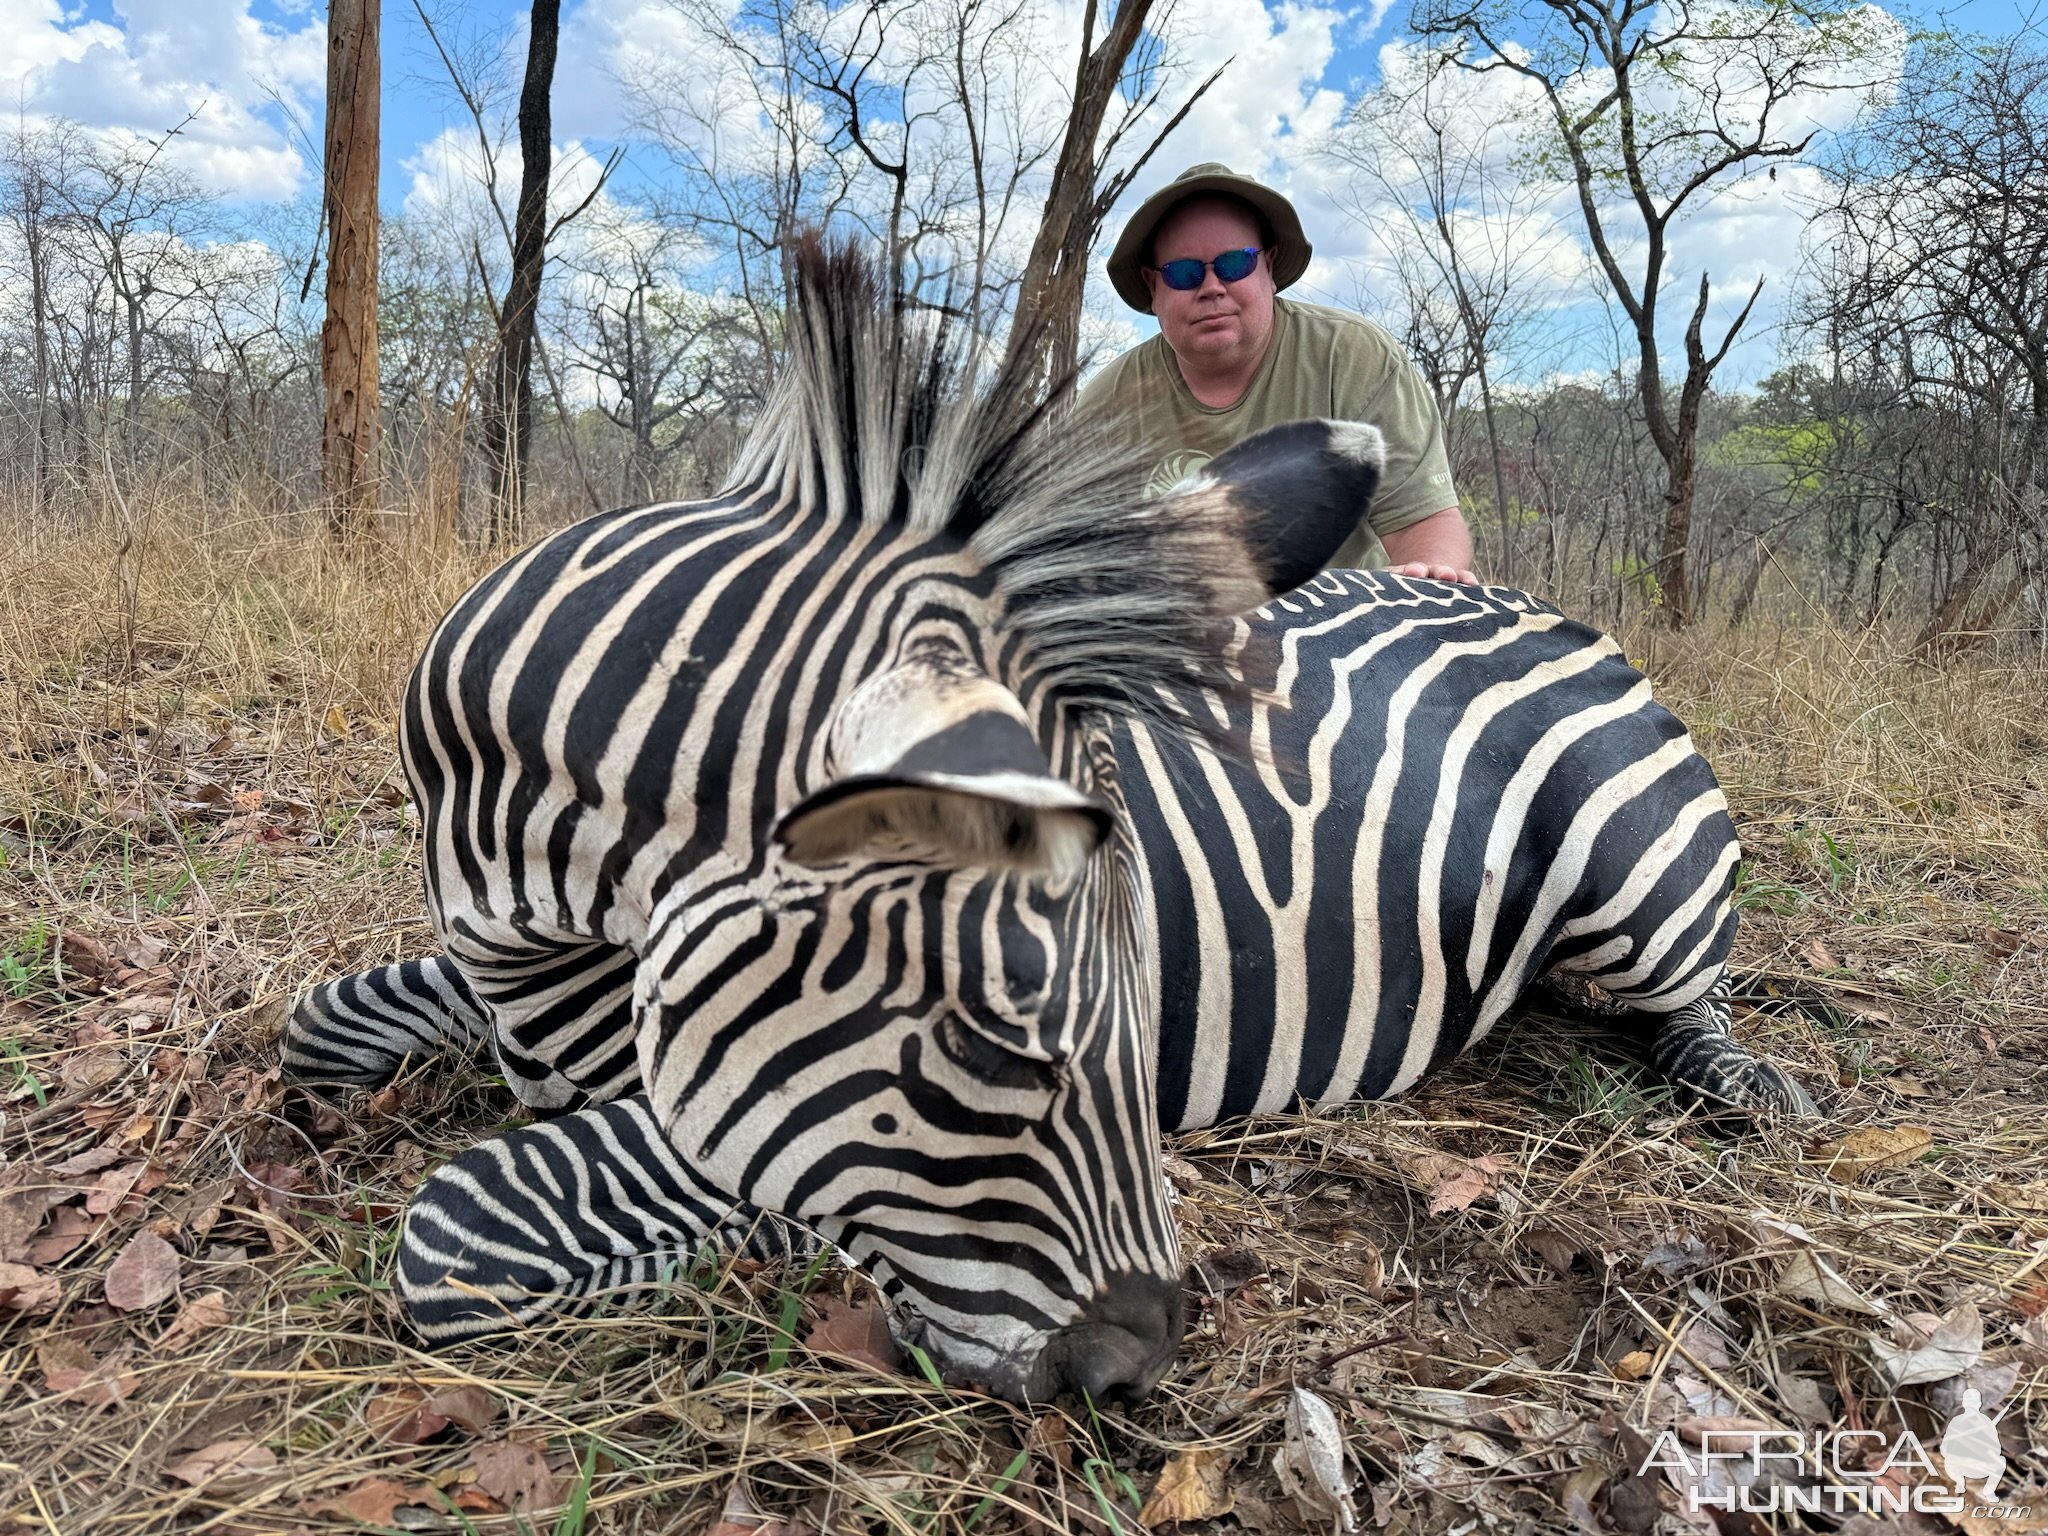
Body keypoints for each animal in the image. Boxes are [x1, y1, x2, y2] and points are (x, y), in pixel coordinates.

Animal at [284, 237, 1810, 1409]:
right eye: (985, 1044)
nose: (1131, 1374)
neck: (533, 907)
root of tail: (1539, 605)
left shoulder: (703, 1104)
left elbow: (459, 1230)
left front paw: (755, 1249)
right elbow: (319, 1024)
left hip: (1638, 895)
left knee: (1693, 1004)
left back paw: (1753, 1085)